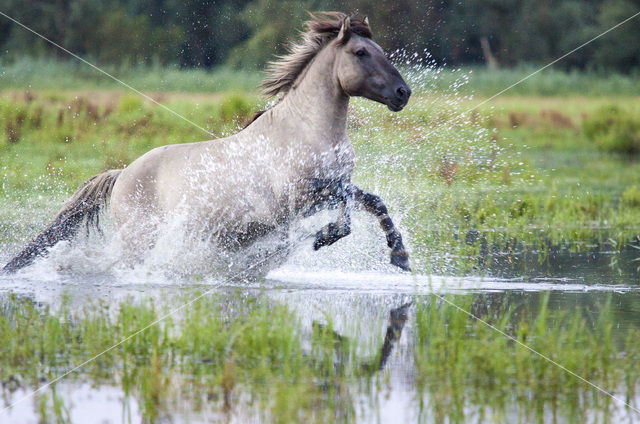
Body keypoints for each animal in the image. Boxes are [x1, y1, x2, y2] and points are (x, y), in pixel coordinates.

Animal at [2, 12, 412, 274]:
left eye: (381, 51)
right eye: (360, 53)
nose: (402, 93)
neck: (305, 130)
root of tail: (121, 175)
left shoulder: (336, 183)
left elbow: (372, 201)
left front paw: (400, 256)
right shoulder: (299, 197)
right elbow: (345, 214)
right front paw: (321, 238)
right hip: (139, 240)